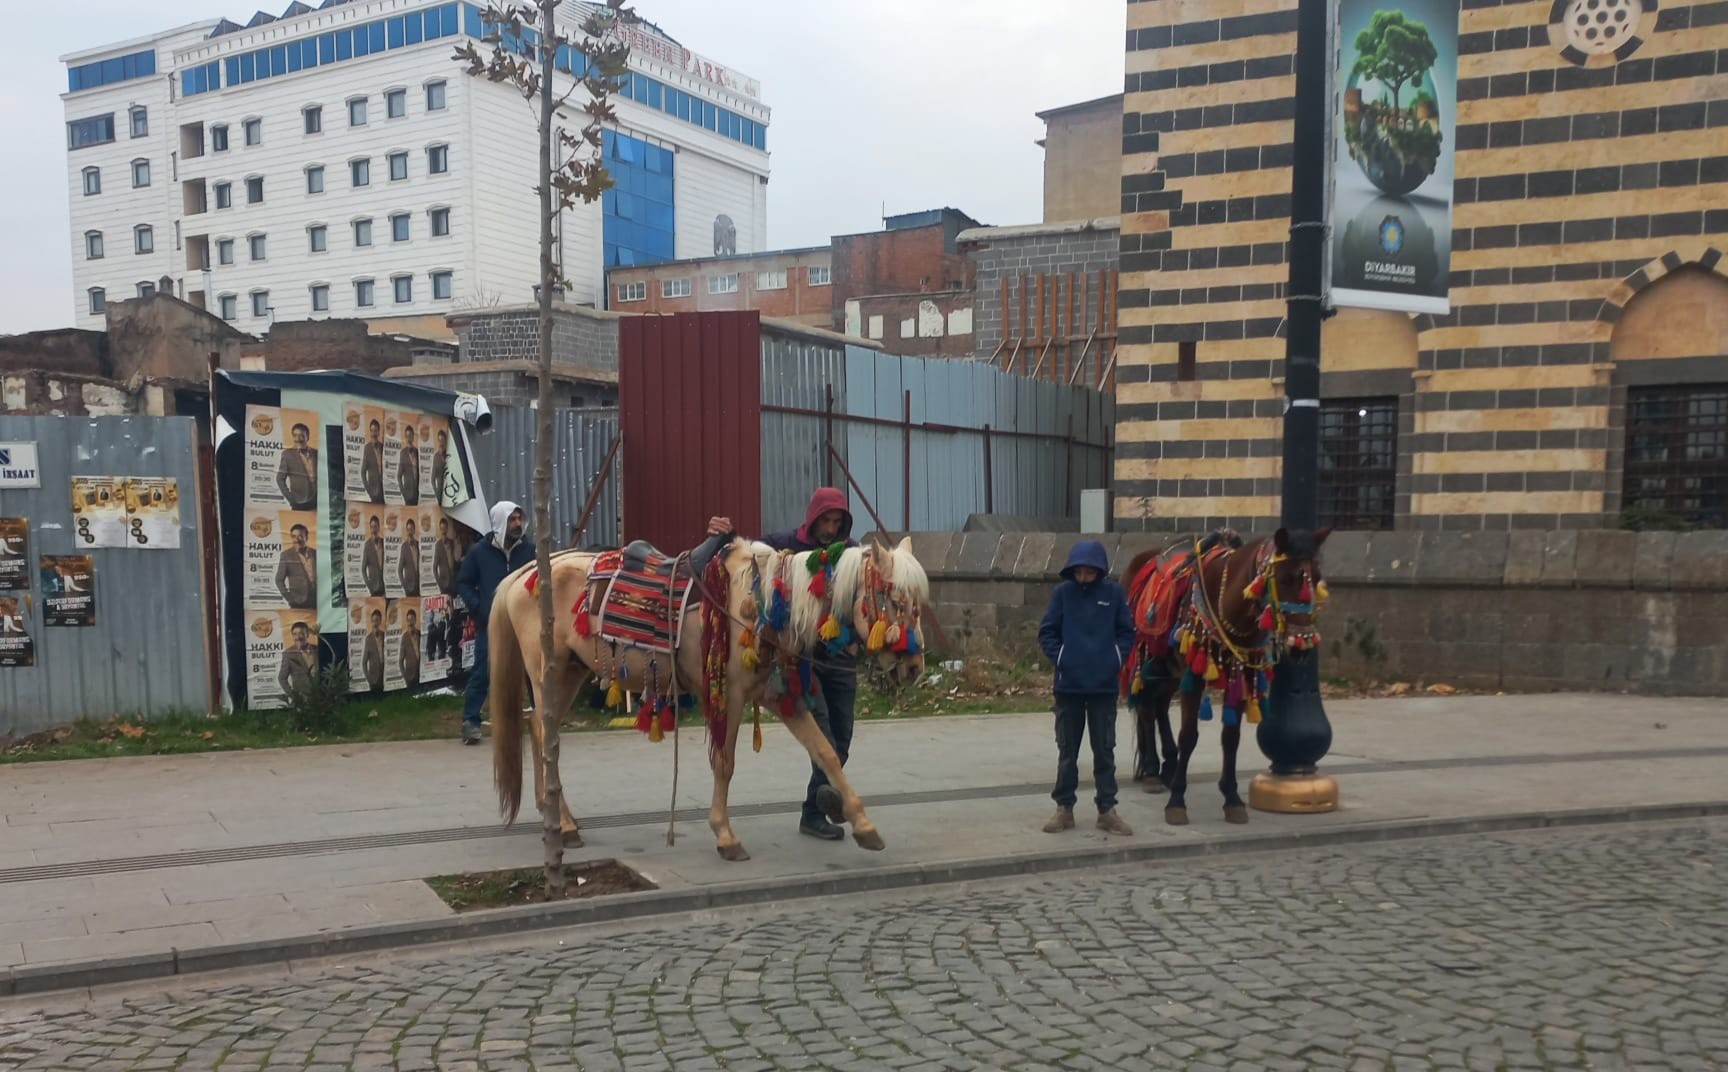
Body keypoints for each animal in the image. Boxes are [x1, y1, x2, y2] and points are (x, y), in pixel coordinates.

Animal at [487, 536, 926, 861]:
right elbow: (725, 764)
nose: (913, 667)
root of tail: (525, 572)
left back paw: (555, 817)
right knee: (544, 735)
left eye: (919, 604)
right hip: (549, 673)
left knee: (540, 731)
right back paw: (562, 824)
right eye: (895, 600)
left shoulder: (781, 698)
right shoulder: (728, 696)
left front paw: (865, 827)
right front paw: (725, 836)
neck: (764, 604)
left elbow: (827, 752)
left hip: (573, 672)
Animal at [1119, 532, 1334, 826]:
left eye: (1317, 576)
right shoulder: (1195, 673)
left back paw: (1168, 766)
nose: (1301, 645)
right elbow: (1189, 736)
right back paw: (1152, 771)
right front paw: (1177, 802)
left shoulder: (1242, 674)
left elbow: (1231, 738)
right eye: (1285, 578)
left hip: (1170, 668)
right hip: (1147, 657)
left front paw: (1232, 798)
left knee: (1160, 706)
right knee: (1147, 708)